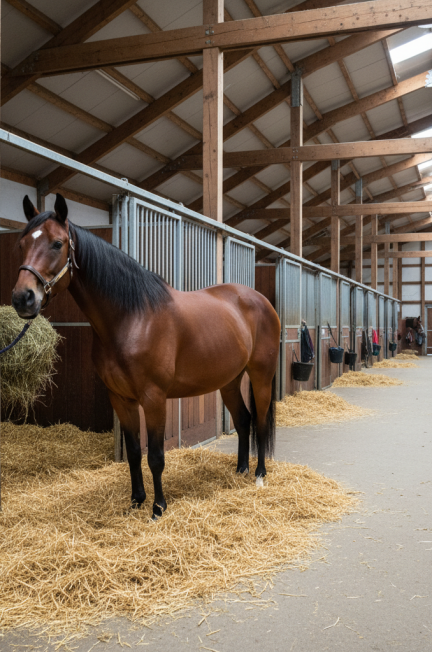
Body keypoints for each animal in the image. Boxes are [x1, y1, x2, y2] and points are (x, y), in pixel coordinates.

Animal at [12, 194, 281, 519]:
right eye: (22, 243)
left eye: (57, 243)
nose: (23, 298)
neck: (133, 318)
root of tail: (261, 301)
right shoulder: (120, 399)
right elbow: (133, 453)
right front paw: (136, 501)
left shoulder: (154, 399)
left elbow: (155, 456)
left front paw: (158, 507)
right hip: (229, 381)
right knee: (243, 420)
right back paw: (240, 470)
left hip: (261, 375)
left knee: (261, 422)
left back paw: (259, 474)